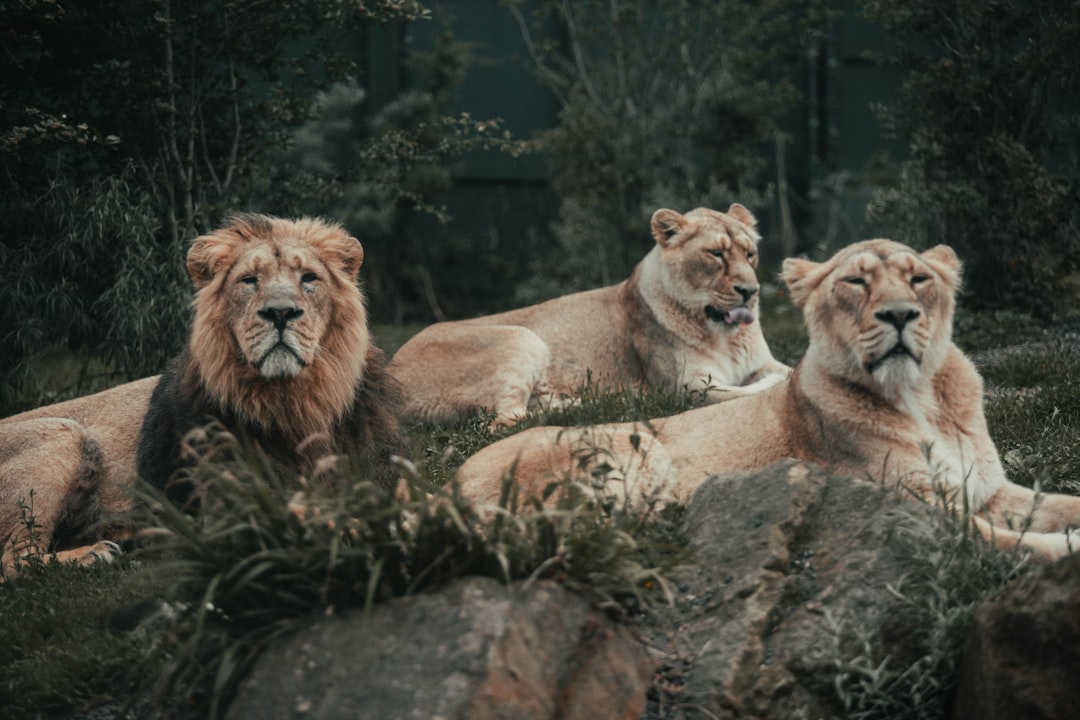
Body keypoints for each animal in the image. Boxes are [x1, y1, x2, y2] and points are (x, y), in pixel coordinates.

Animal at [0, 212, 406, 574]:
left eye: (309, 278)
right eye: (248, 280)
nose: (280, 313)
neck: (296, 403)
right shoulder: (232, 502)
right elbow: (314, 511)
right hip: (63, 435)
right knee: (15, 562)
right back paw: (95, 553)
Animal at [390, 202, 794, 427]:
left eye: (750, 253)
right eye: (716, 254)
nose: (751, 292)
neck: (726, 335)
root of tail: (390, 371)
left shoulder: (761, 361)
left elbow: (787, 370)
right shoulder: (685, 388)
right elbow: (747, 391)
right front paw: (775, 385)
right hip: (521, 337)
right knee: (505, 420)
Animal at [460, 241, 1080, 561]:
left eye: (919, 279)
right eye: (855, 282)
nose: (900, 314)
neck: (921, 396)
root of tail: (454, 480)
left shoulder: (991, 489)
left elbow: (1060, 503)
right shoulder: (917, 507)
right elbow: (1014, 541)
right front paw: (1065, 547)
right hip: (636, 448)